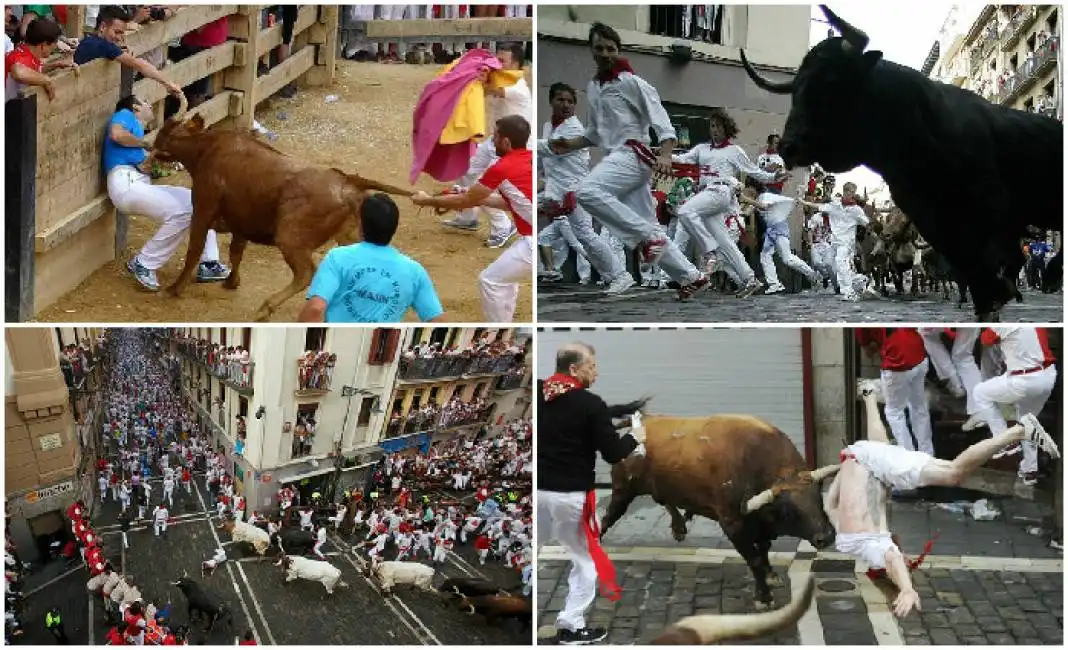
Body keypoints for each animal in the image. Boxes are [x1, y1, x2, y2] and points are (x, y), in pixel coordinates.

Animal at [602, 401, 833, 606]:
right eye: (788, 510)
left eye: (819, 496)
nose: (827, 536)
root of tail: (645, 421)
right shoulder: (733, 524)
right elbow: (755, 559)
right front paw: (764, 596)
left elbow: (764, 549)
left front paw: (770, 575)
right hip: (622, 490)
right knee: (608, 517)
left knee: (665, 500)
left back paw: (679, 527)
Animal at [743, 5, 1059, 320]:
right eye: (796, 88)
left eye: (830, 82)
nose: (787, 146)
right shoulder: (936, 223)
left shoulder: (989, 217)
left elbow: (990, 275)